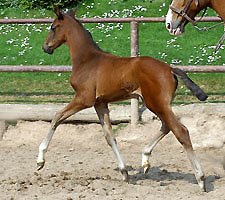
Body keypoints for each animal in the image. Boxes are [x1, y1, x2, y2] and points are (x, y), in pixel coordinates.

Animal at [37, 7, 207, 192]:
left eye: (53, 27)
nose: (45, 47)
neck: (86, 60)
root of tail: (170, 68)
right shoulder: (100, 103)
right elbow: (110, 137)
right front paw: (124, 172)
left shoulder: (84, 98)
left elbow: (57, 117)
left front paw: (40, 161)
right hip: (157, 104)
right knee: (166, 126)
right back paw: (145, 160)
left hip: (156, 103)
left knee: (180, 131)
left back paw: (200, 179)